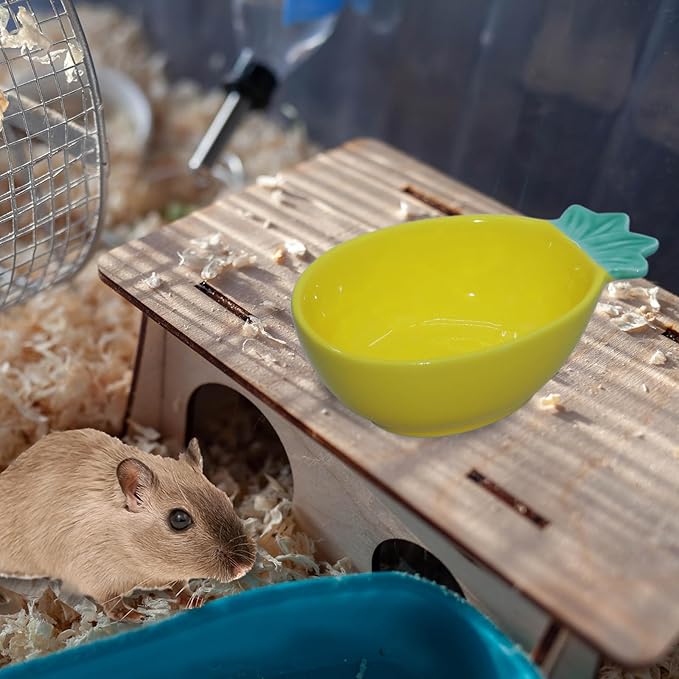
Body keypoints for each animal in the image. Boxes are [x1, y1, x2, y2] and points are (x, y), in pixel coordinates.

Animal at [0, 429, 256, 621]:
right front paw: (136, 616)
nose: (245, 567)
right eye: (179, 519)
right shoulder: (93, 575)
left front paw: (197, 600)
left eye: (225, 497)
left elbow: (180, 585)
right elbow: (111, 603)